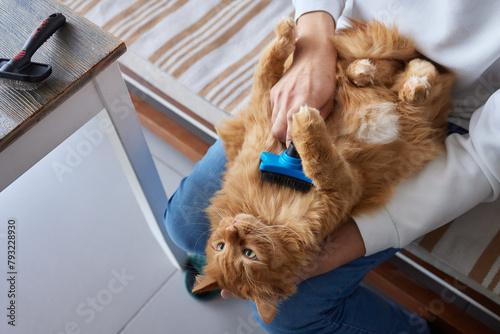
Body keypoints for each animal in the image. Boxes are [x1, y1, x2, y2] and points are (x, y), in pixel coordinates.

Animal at [190, 16, 454, 324]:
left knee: (412, 66)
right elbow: (321, 159)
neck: (269, 213)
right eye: (241, 252)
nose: (232, 228)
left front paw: (284, 32)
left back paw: (373, 74)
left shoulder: (264, 114)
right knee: (417, 71)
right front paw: (307, 123)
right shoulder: (343, 187)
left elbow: (267, 67)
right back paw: (402, 84)